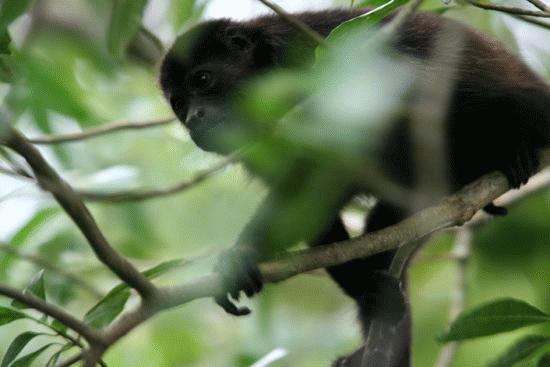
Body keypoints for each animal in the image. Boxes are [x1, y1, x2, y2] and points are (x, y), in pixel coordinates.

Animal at [160, 6, 550, 367]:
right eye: (178, 103)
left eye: (203, 79)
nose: (193, 118)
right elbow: (310, 205)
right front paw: (247, 257)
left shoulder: (308, 63)